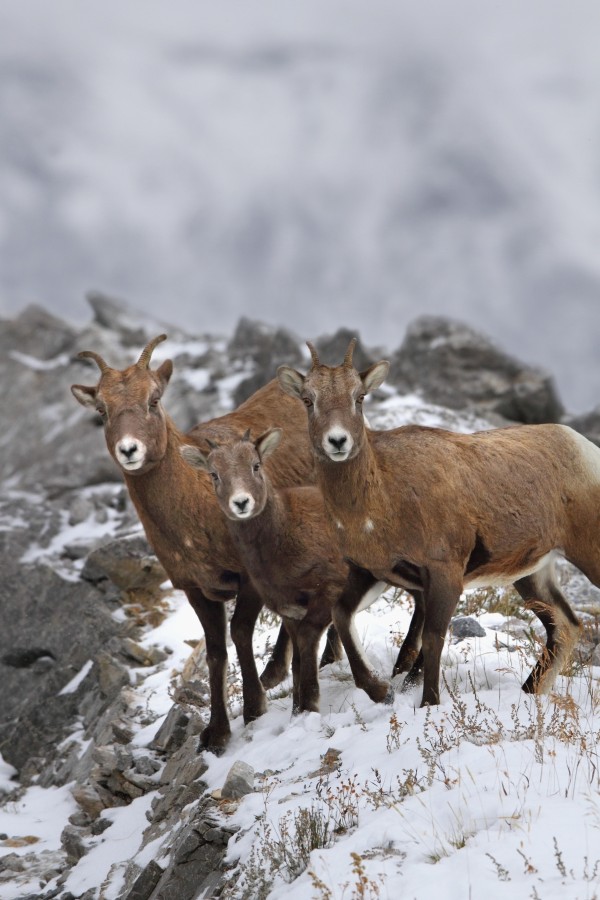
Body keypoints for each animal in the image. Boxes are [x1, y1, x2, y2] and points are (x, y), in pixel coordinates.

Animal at [71, 333, 335, 751]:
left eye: (154, 399)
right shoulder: (196, 590)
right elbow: (214, 652)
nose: (129, 450)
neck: (193, 515)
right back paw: (278, 671)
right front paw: (216, 733)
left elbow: (240, 634)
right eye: (102, 409)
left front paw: (254, 708)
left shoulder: (247, 581)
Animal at [181, 429, 388, 712]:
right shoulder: (290, 613)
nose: (241, 502)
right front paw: (298, 710)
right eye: (214, 474)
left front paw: (310, 704)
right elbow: (297, 660)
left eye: (256, 465)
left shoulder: (327, 593)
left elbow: (308, 640)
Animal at [277, 338, 596, 709]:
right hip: (532, 575)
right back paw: (529, 693)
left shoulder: (445, 576)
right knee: (565, 626)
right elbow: (342, 616)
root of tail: (584, 448)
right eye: (308, 400)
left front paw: (428, 704)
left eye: (359, 397)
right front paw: (379, 690)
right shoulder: (368, 572)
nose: (338, 441)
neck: (382, 497)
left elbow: (432, 639)